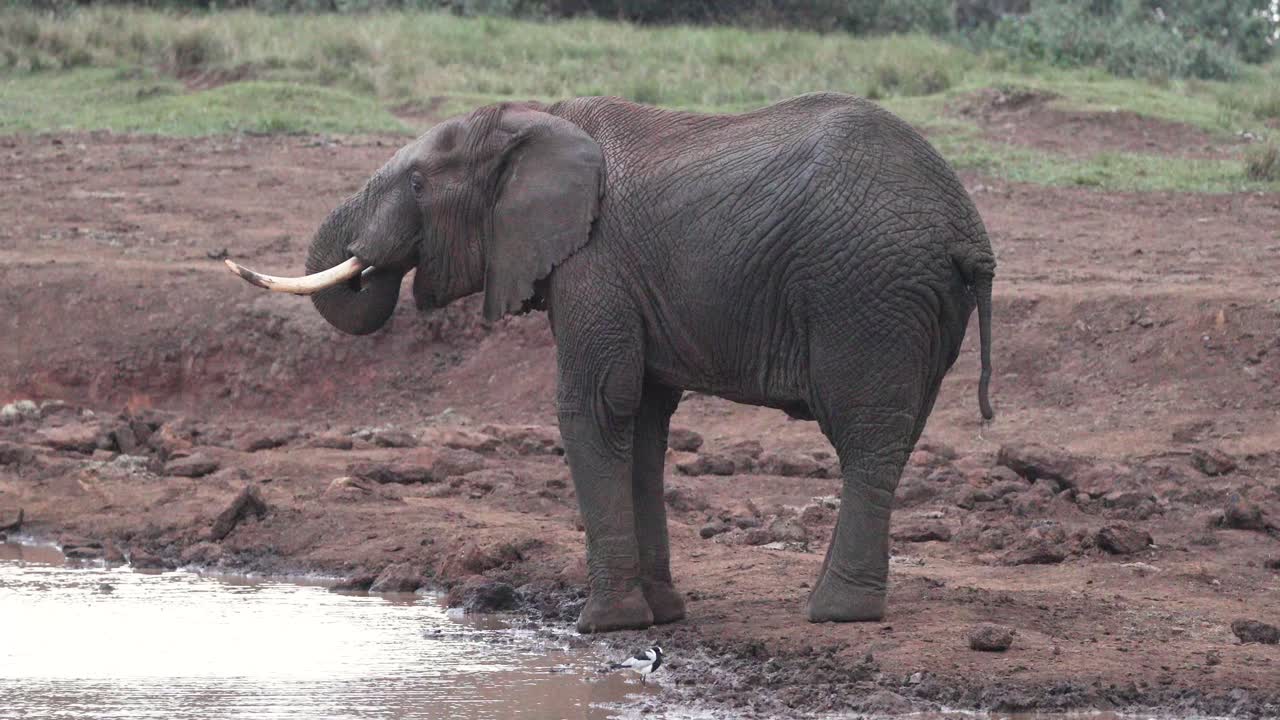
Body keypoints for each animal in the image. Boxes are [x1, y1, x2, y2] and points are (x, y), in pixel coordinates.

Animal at [227, 92, 996, 633]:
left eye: (417, 185)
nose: (371, 266)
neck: (534, 120)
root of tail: (967, 230)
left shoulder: (594, 262)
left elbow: (595, 406)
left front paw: (600, 627)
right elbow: (644, 423)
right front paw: (661, 615)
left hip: (865, 293)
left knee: (866, 433)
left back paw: (837, 613)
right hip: (912, 304)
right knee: (895, 436)